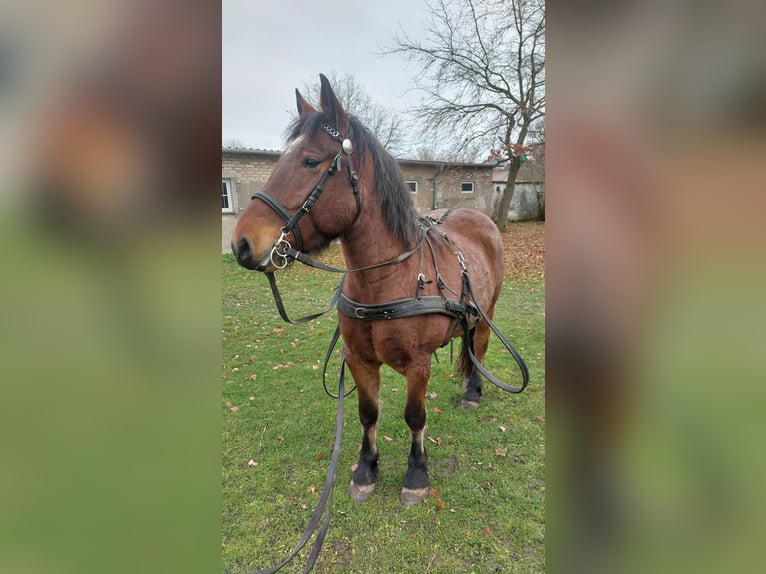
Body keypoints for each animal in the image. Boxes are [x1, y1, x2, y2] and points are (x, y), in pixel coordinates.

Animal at [231, 74, 514, 506]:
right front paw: (366, 470)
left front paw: (416, 475)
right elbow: (368, 413)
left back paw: (473, 391)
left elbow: (415, 417)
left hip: (486, 313)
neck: (385, 280)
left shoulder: (418, 365)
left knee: (479, 345)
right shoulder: (359, 360)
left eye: (310, 161)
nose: (242, 244)